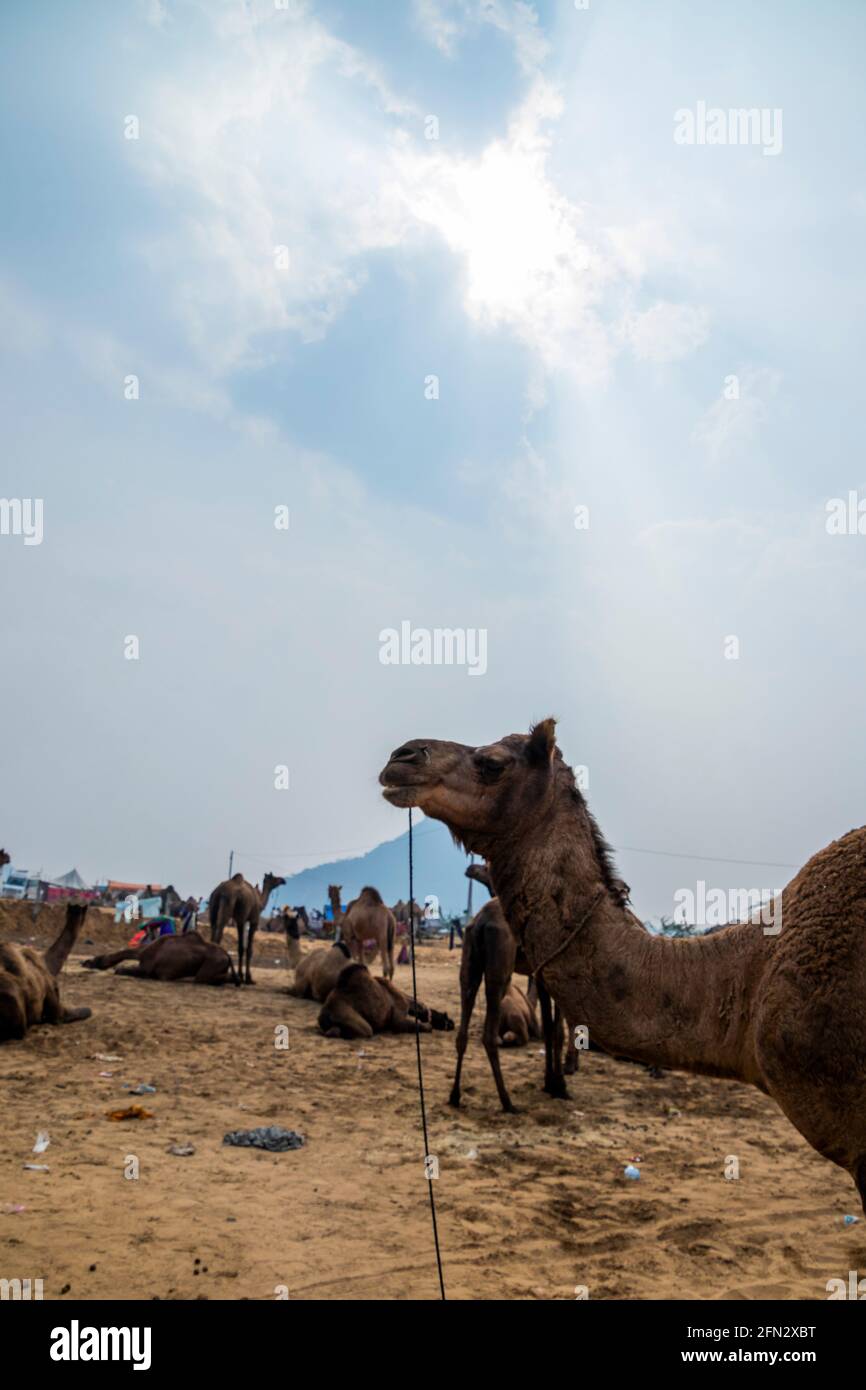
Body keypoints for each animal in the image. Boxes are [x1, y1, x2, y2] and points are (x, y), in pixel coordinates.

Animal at [83, 932, 238, 986]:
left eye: (96, 958)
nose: (84, 962)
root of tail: (227, 955)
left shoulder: (147, 969)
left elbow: (120, 970)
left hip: (212, 964)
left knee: (202, 978)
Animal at [318, 962, 454, 1039]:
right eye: (444, 1016)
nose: (452, 1023)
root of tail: (324, 1014)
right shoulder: (399, 1017)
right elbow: (405, 1024)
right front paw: (429, 1026)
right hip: (353, 1021)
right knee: (364, 1030)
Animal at [380, 719, 866, 1214]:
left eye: (492, 763)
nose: (401, 757)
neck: (752, 975)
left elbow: (556, 1026)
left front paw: (559, 1081)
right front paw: (558, 1081)